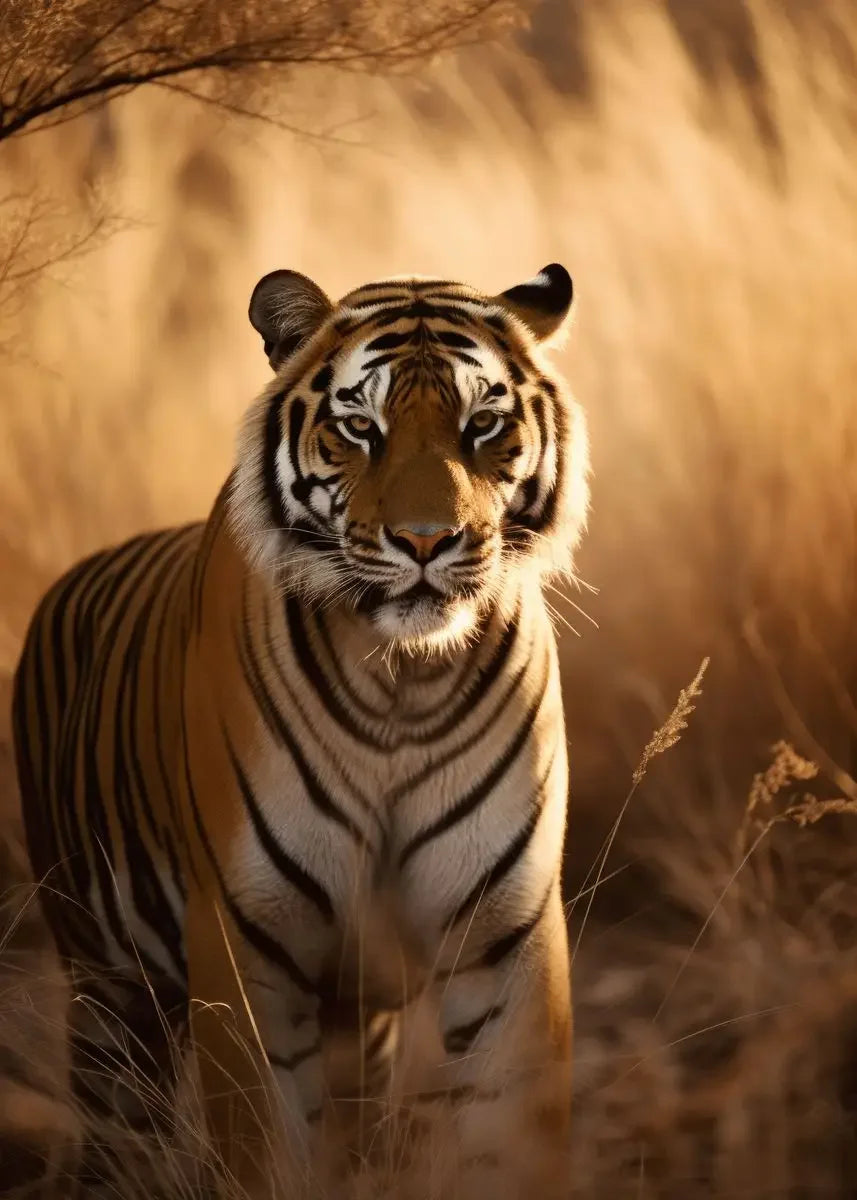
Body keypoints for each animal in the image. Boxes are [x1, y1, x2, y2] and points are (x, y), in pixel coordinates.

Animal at [11, 262, 590, 1198]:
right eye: (360, 427)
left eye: (482, 424)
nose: (427, 541)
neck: (402, 681)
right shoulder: (248, 941)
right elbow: (261, 1147)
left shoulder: (506, 929)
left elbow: (513, 1137)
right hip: (106, 987)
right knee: (116, 1133)